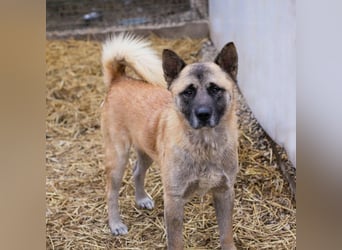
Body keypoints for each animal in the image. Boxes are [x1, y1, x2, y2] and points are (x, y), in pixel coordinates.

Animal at [101, 33, 238, 250]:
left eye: (215, 89)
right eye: (188, 92)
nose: (203, 114)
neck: (205, 146)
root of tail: (119, 79)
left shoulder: (224, 192)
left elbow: (226, 235)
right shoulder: (174, 199)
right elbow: (176, 241)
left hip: (146, 150)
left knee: (137, 171)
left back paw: (141, 199)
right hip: (118, 158)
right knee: (111, 191)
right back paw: (116, 224)